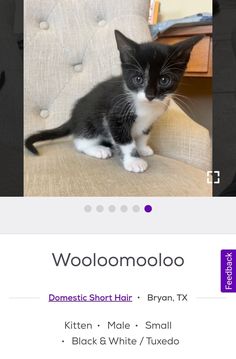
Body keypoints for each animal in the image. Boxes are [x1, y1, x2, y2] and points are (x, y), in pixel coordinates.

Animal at [25, 30, 203, 174]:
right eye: (138, 79)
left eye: (164, 80)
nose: (150, 95)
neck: (144, 105)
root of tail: (73, 116)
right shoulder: (115, 115)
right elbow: (125, 140)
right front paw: (134, 160)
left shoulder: (150, 120)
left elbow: (143, 134)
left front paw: (143, 148)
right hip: (89, 121)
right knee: (80, 141)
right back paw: (98, 149)